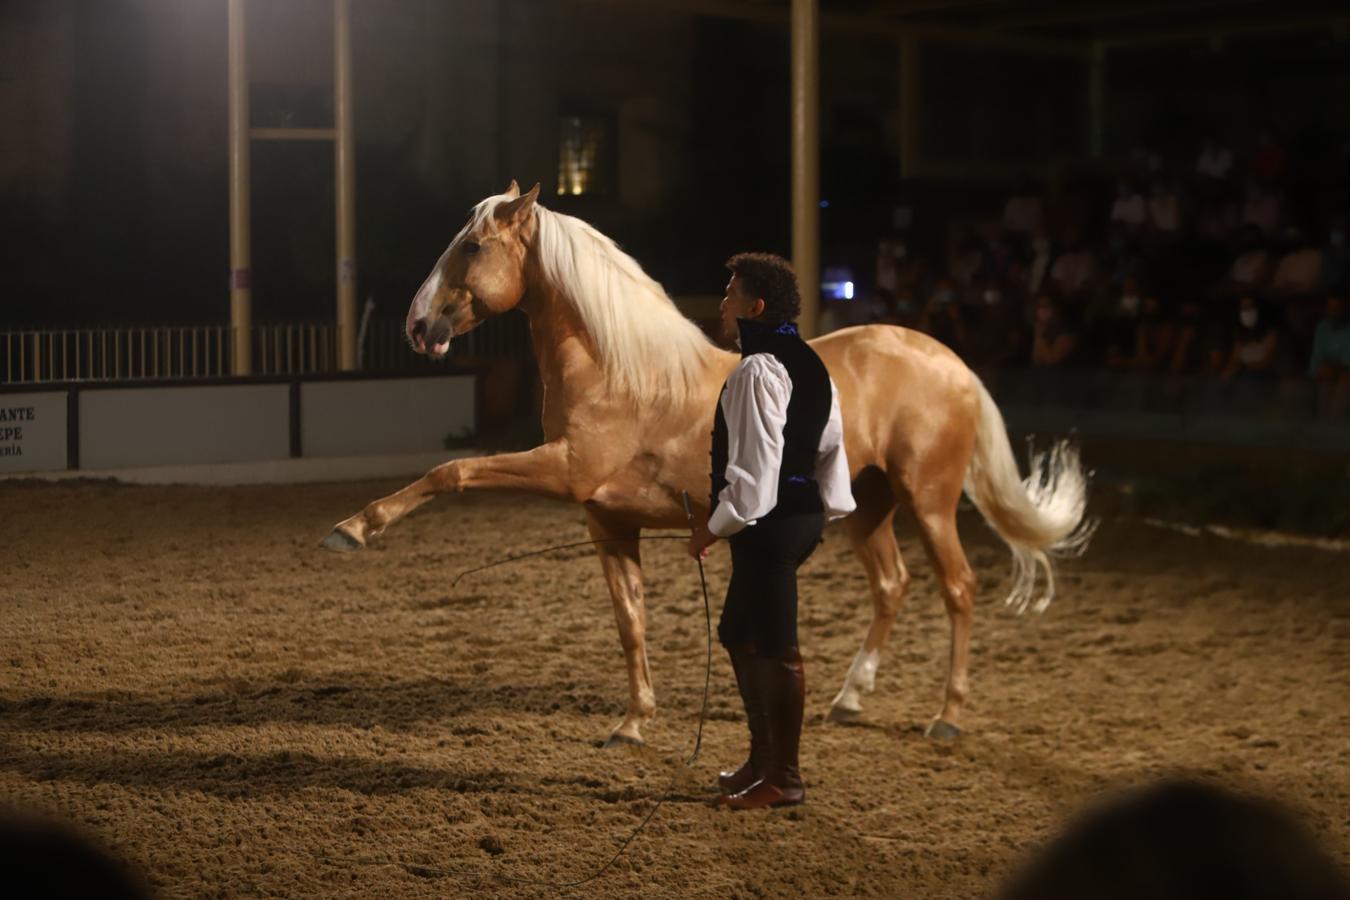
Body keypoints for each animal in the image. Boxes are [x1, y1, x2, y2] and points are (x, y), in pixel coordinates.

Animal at [321, 180, 1090, 744]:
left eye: (474, 245)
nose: (419, 325)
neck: (621, 368)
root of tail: (948, 362)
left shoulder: (562, 470)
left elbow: (451, 472)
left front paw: (355, 527)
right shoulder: (607, 522)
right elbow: (630, 622)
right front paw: (634, 723)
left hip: (929, 501)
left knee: (958, 589)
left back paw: (947, 718)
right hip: (868, 506)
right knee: (891, 586)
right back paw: (849, 698)